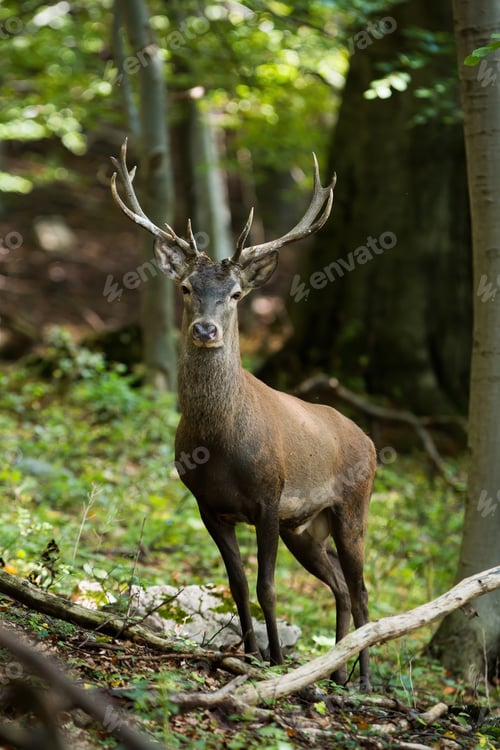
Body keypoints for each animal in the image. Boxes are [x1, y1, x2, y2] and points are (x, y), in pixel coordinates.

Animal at [110, 141, 376, 689]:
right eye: (187, 288)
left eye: (235, 295)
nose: (206, 330)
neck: (218, 447)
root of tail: (371, 440)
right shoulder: (208, 505)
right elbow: (234, 584)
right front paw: (249, 654)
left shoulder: (269, 499)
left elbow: (266, 585)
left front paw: (272, 661)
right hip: (307, 526)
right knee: (340, 586)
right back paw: (335, 673)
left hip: (351, 504)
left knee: (362, 590)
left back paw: (361, 680)